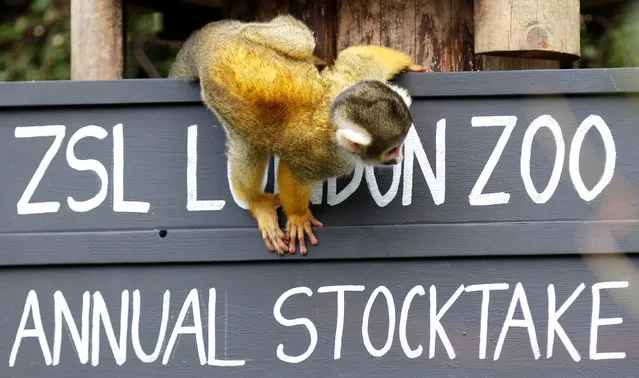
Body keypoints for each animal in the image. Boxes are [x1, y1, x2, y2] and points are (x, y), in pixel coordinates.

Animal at [170, 16, 428, 255]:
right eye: (392, 150)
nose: (399, 159)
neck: (334, 126)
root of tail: (211, 43)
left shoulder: (355, 81)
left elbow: (360, 57)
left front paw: (411, 65)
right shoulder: (323, 158)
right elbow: (292, 173)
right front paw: (298, 216)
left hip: (243, 34)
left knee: (298, 42)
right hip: (221, 105)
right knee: (248, 148)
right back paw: (255, 201)